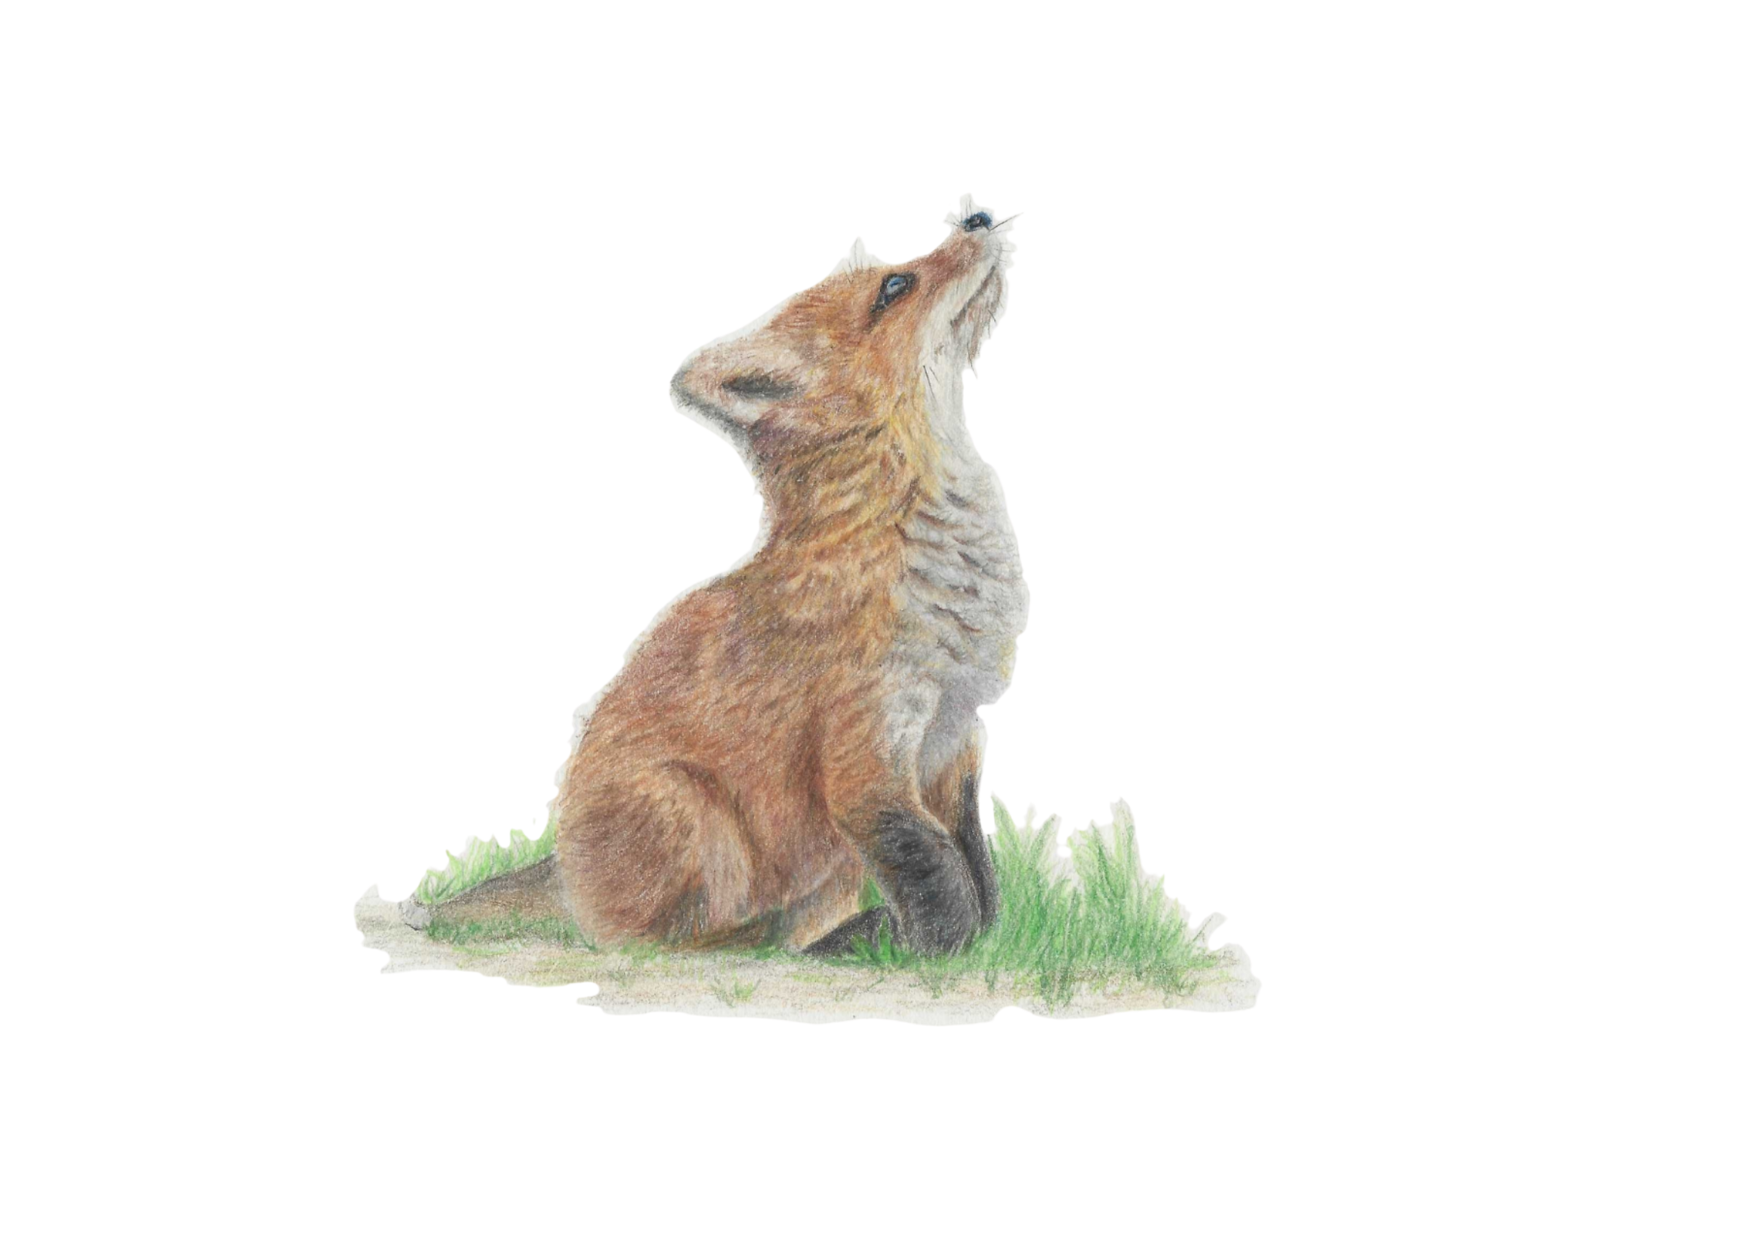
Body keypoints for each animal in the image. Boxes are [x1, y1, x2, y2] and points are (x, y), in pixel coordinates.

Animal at [412, 194, 1028, 956]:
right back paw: (817, 944)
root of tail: (565, 875)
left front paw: (982, 941)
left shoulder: (956, 740)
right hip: (689, 813)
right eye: (895, 286)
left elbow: (976, 873)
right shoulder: (863, 759)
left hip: (818, 867)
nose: (975, 217)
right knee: (670, 941)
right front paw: (936, 953)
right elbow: (936, 878)